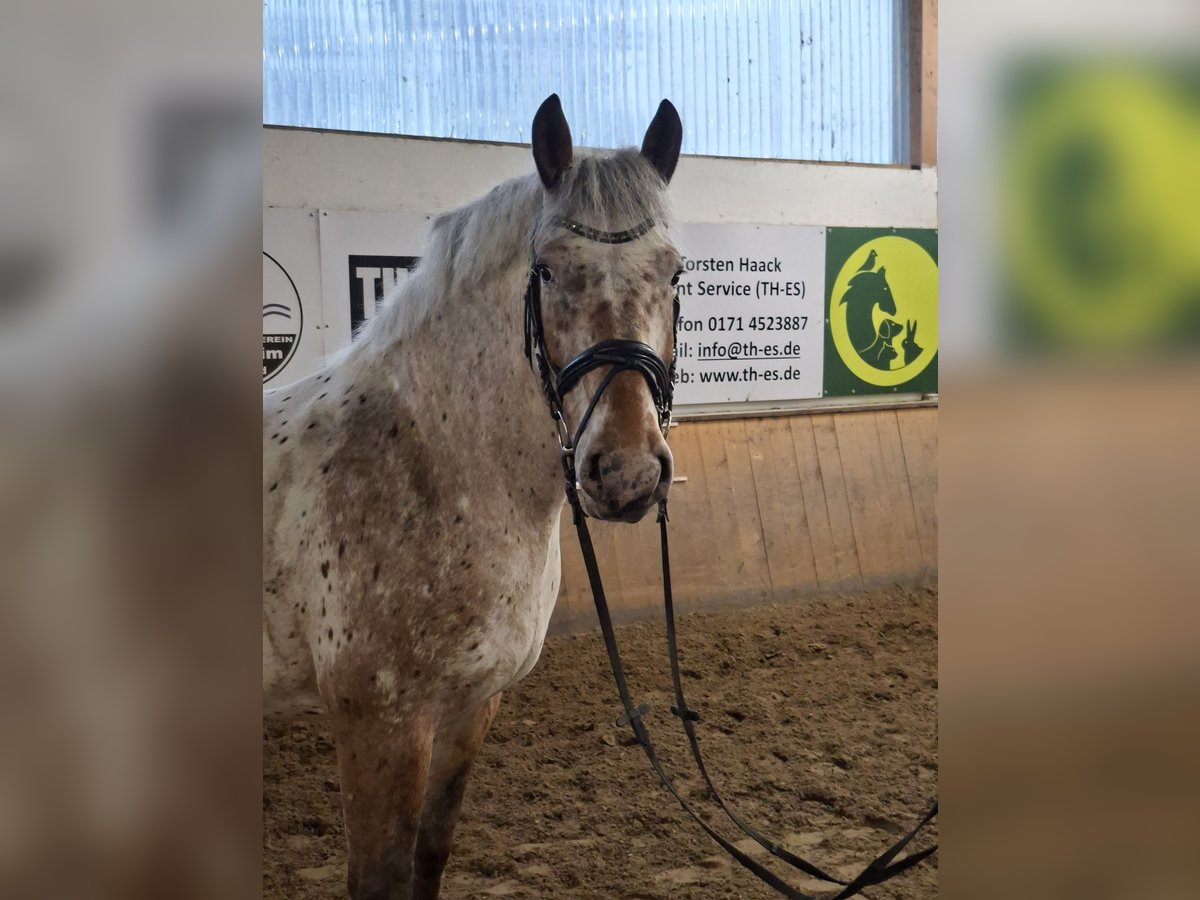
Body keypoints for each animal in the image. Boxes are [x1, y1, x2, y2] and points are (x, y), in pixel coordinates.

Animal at [263, 94, 684, 900]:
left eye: (677, 274)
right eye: (547, 270)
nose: (626, 474)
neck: (435, 463)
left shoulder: (469, 706)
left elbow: (429, 858)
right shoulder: (378, 722)